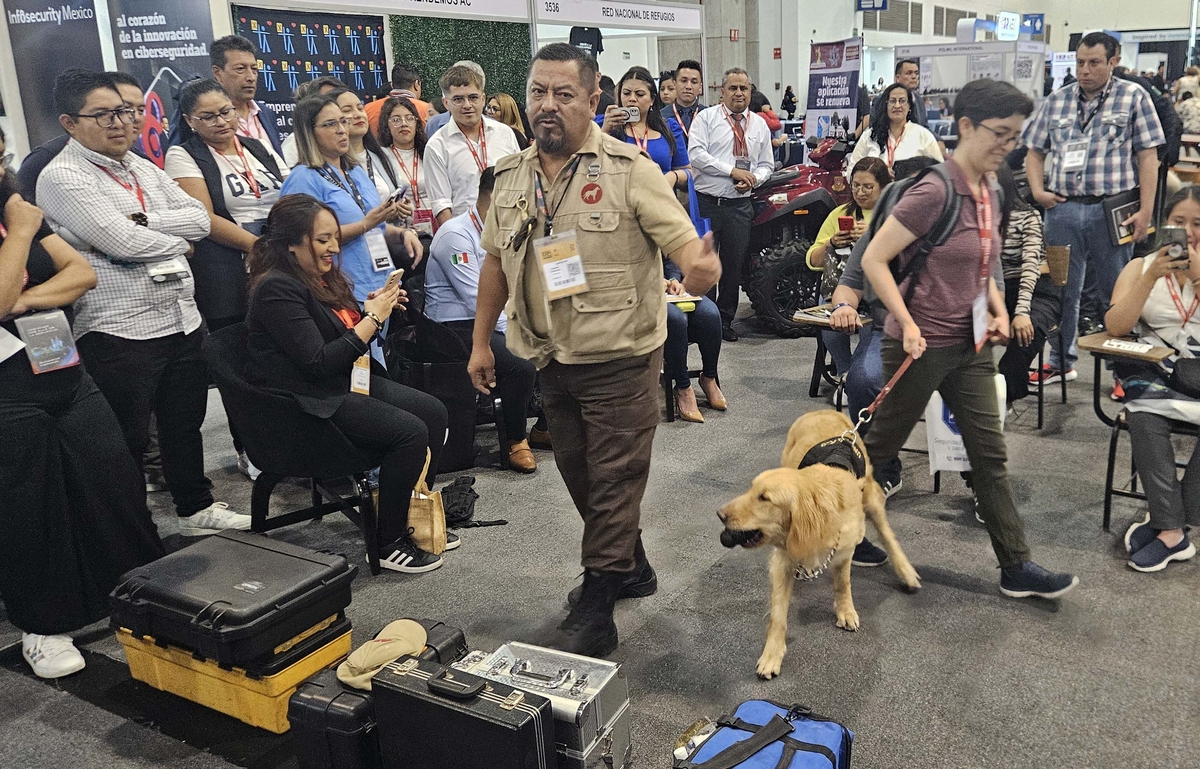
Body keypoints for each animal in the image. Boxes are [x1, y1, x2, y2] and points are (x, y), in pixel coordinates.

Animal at [715, 407, 921, 676]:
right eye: (751, 490)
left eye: (764, 498)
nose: (720, 514)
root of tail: (824, 409)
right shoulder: (783, 560)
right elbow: (778, 614)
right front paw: (772, 654)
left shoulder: (845, 550)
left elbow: (843, 584)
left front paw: (845, 610)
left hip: (872, 498)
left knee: (887, 534)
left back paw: (906, 572)